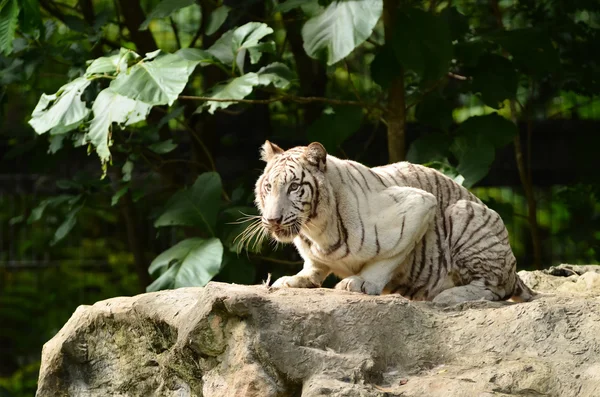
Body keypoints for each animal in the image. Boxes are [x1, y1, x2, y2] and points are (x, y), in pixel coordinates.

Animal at [253, 140, 536, 304]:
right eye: (268, 187)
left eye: (294, 187)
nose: (273, 219)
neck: (315, 229)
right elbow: (313, 265)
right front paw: (293, 279)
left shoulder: (419, 205)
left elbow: (387, 258)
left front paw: (360, 283)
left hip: (463, 213)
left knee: (494, 288)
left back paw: (449, 296)